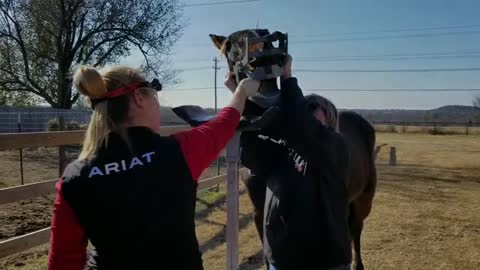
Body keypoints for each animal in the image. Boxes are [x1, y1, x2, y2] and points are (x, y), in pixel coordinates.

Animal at [210, 29, 378, 270]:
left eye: (265, 35)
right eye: (231, 45)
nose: (263, 59)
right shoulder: (258, 210)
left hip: (364, 200)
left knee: (355, 233)